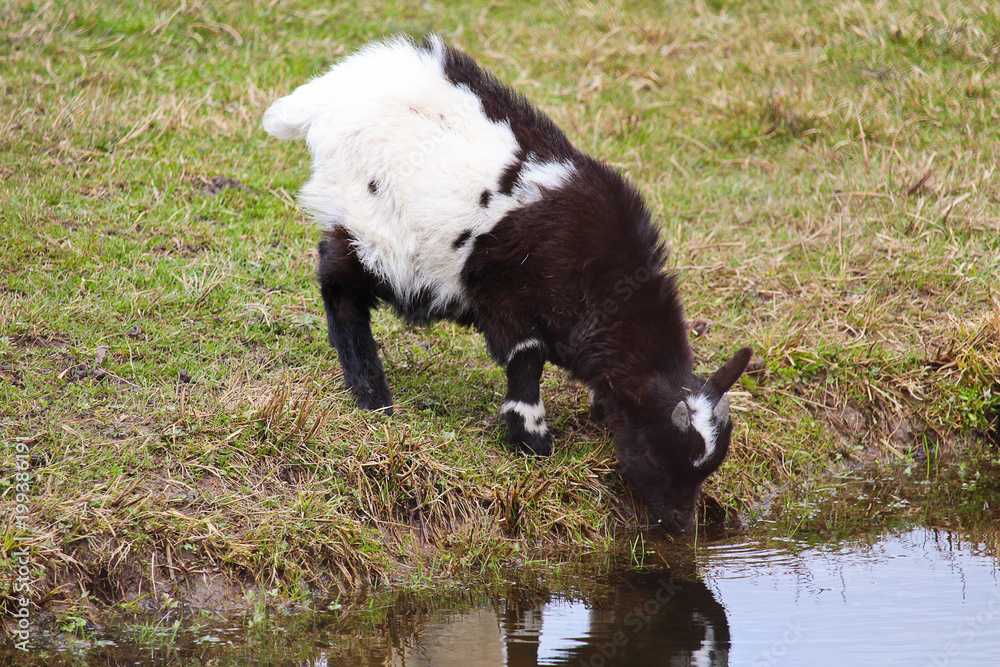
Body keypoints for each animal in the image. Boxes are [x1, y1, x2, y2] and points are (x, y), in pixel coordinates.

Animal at [263, 36, 753, 532]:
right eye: (655, 459)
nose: (680, 525)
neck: (600, 274)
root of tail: (330, 92)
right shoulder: (507, 298)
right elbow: (527, 358)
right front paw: (531, 438)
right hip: (372, 229)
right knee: (339, 283)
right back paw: (371, 394)